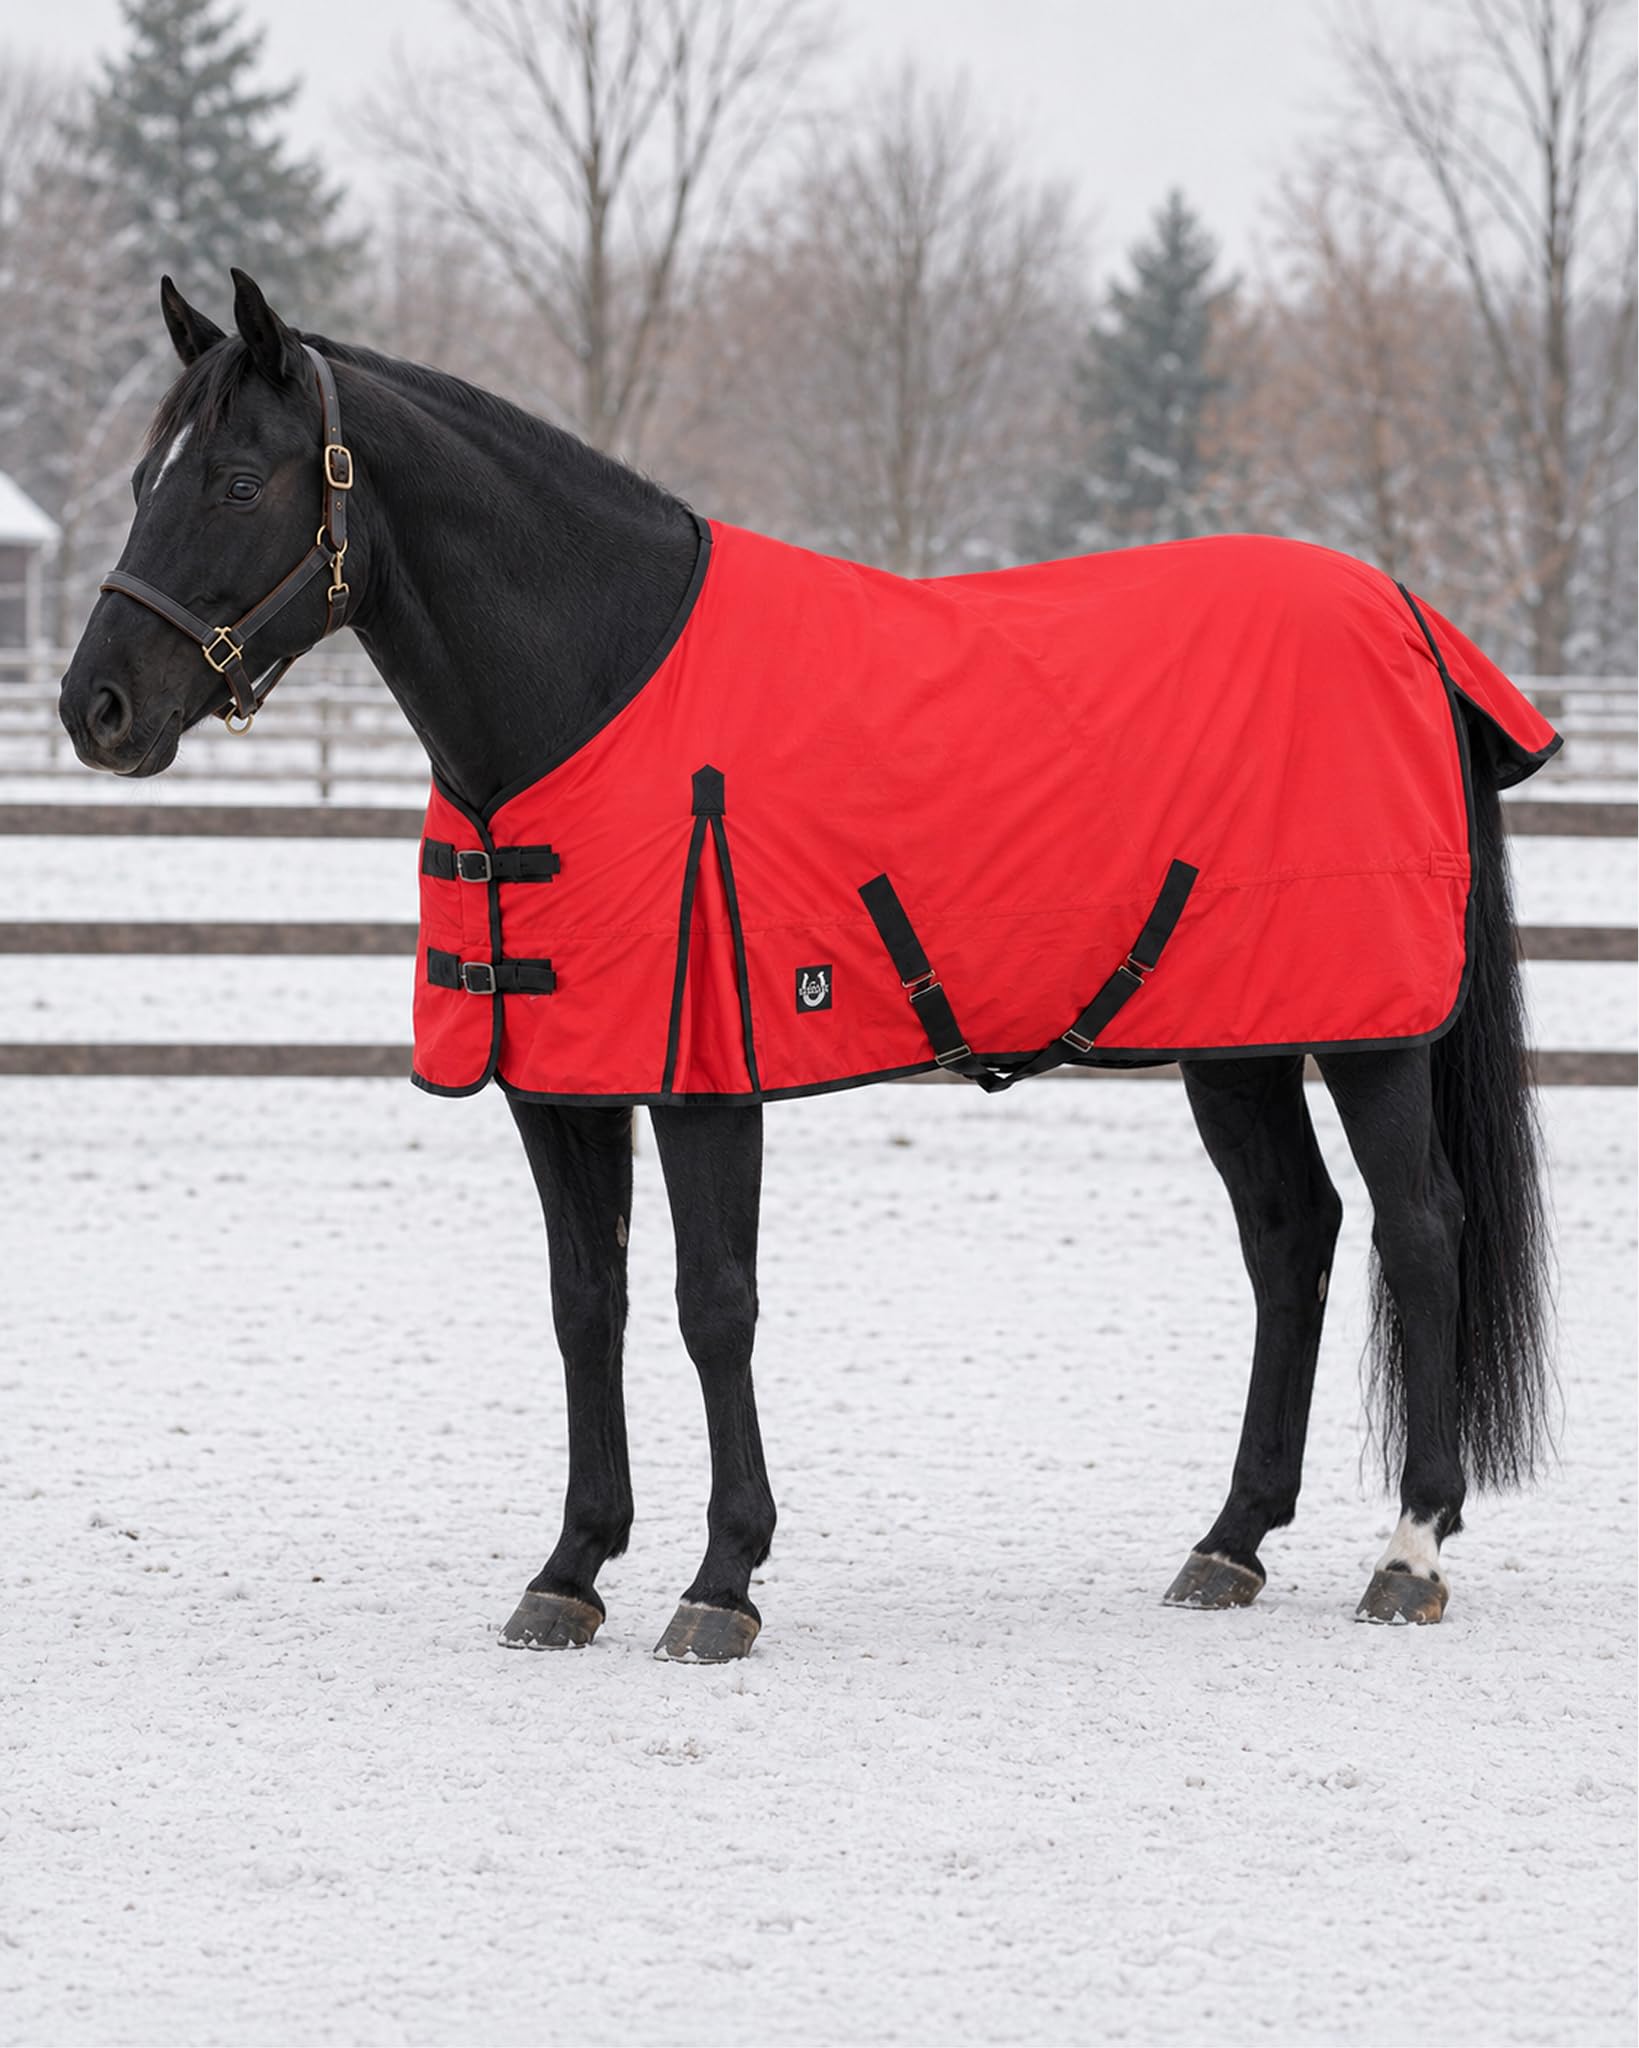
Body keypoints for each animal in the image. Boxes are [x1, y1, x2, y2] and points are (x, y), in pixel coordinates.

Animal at [58, 271, 1555, 1661]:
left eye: (237, 480)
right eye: (138, 478)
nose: (97, 709)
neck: (596, 683)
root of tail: (1405, 614)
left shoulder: (706, 1077)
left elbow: (712, 1307)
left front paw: (721, 1581)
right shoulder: (560, 1084)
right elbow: (584, 1305)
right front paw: (569, 1570)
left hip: (1369, 1034)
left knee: (1418, 1229)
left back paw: (1408, 1550)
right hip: (1231, 1034)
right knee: (1290, 1234)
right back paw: (1228, 1542)